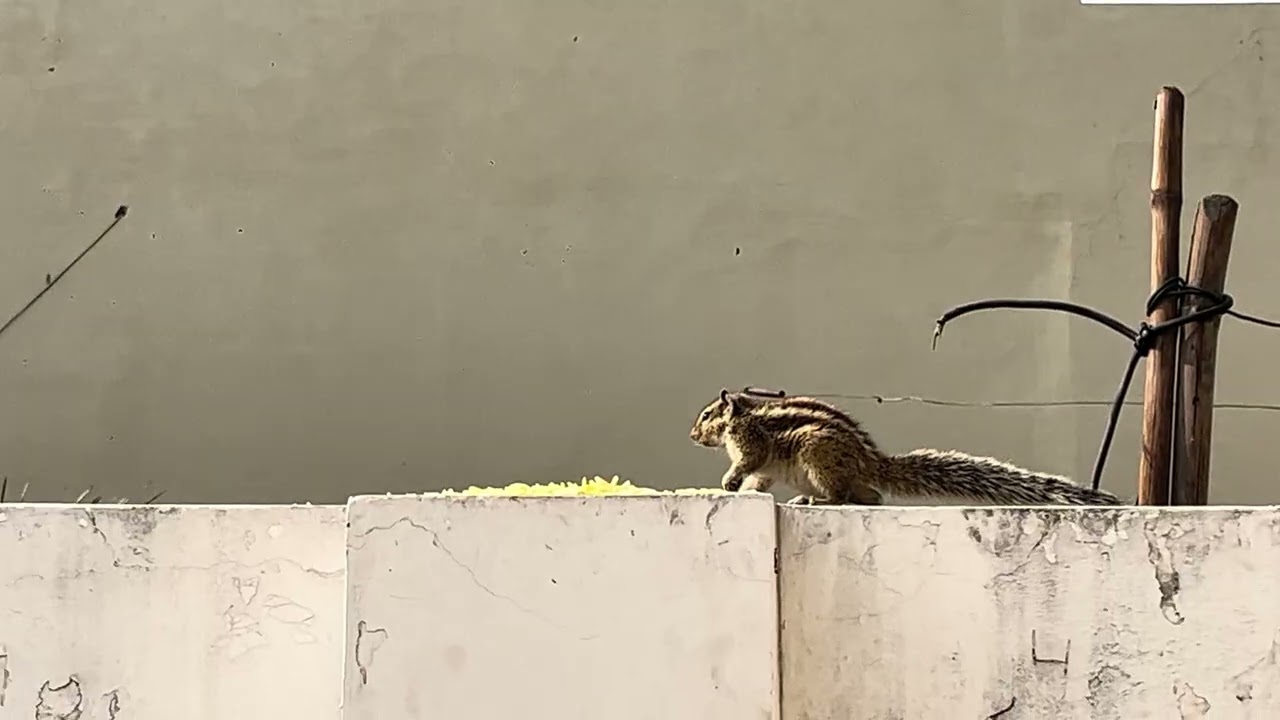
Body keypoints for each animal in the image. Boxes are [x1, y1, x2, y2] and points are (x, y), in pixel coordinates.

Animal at [689, 388, 1123, 506]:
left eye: (707, 414)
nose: (691, 436)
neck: (743, 415)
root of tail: (872, 462)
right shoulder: (763, 467)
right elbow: (758, 481)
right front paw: (743, 491)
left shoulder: (751, 444)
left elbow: (748, 462)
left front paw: (729, 483)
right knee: (871, 497)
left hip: (816, 455)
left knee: (844, 495)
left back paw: (816, 500)